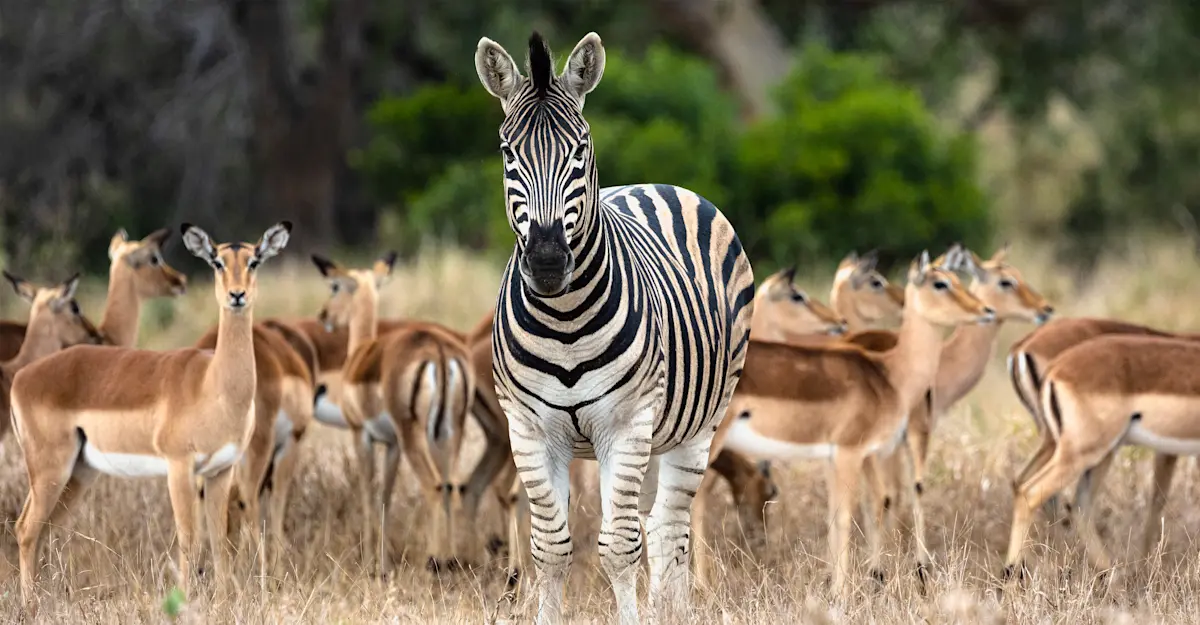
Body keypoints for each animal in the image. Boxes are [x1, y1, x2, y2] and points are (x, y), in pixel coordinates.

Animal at [474, 31, 755, 624]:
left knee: (668, 527)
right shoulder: (528, 429)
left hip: (696, 423)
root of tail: (655, 184)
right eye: (508, 152)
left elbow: (619, 547)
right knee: (654, 521)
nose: (548, 260)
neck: (564, 321)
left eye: (581, 149)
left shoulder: (624, 424)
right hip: (655, 428)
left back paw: (671, 612)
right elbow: (551, 547)